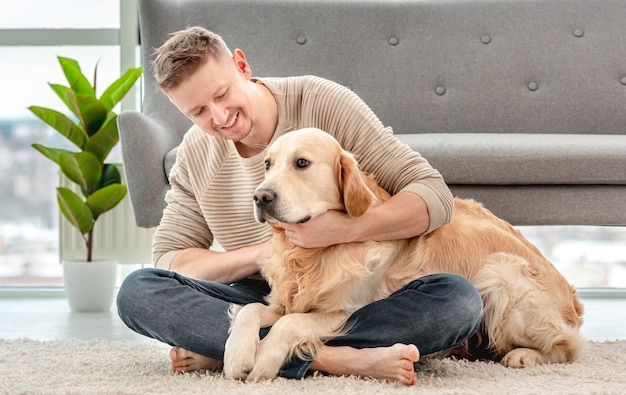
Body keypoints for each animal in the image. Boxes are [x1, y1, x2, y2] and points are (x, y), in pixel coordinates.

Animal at [222, 127, 584, 380]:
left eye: (301, 163)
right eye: (267, 164)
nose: (261, 197)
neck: (315, 255)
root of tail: (572, 300)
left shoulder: (345, 310)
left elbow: (290, 323)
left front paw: (264, 360)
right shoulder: (284, 300)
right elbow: (251, 310)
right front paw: (237, 354)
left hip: (499, 273)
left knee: (569, 346)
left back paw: (524, 356)